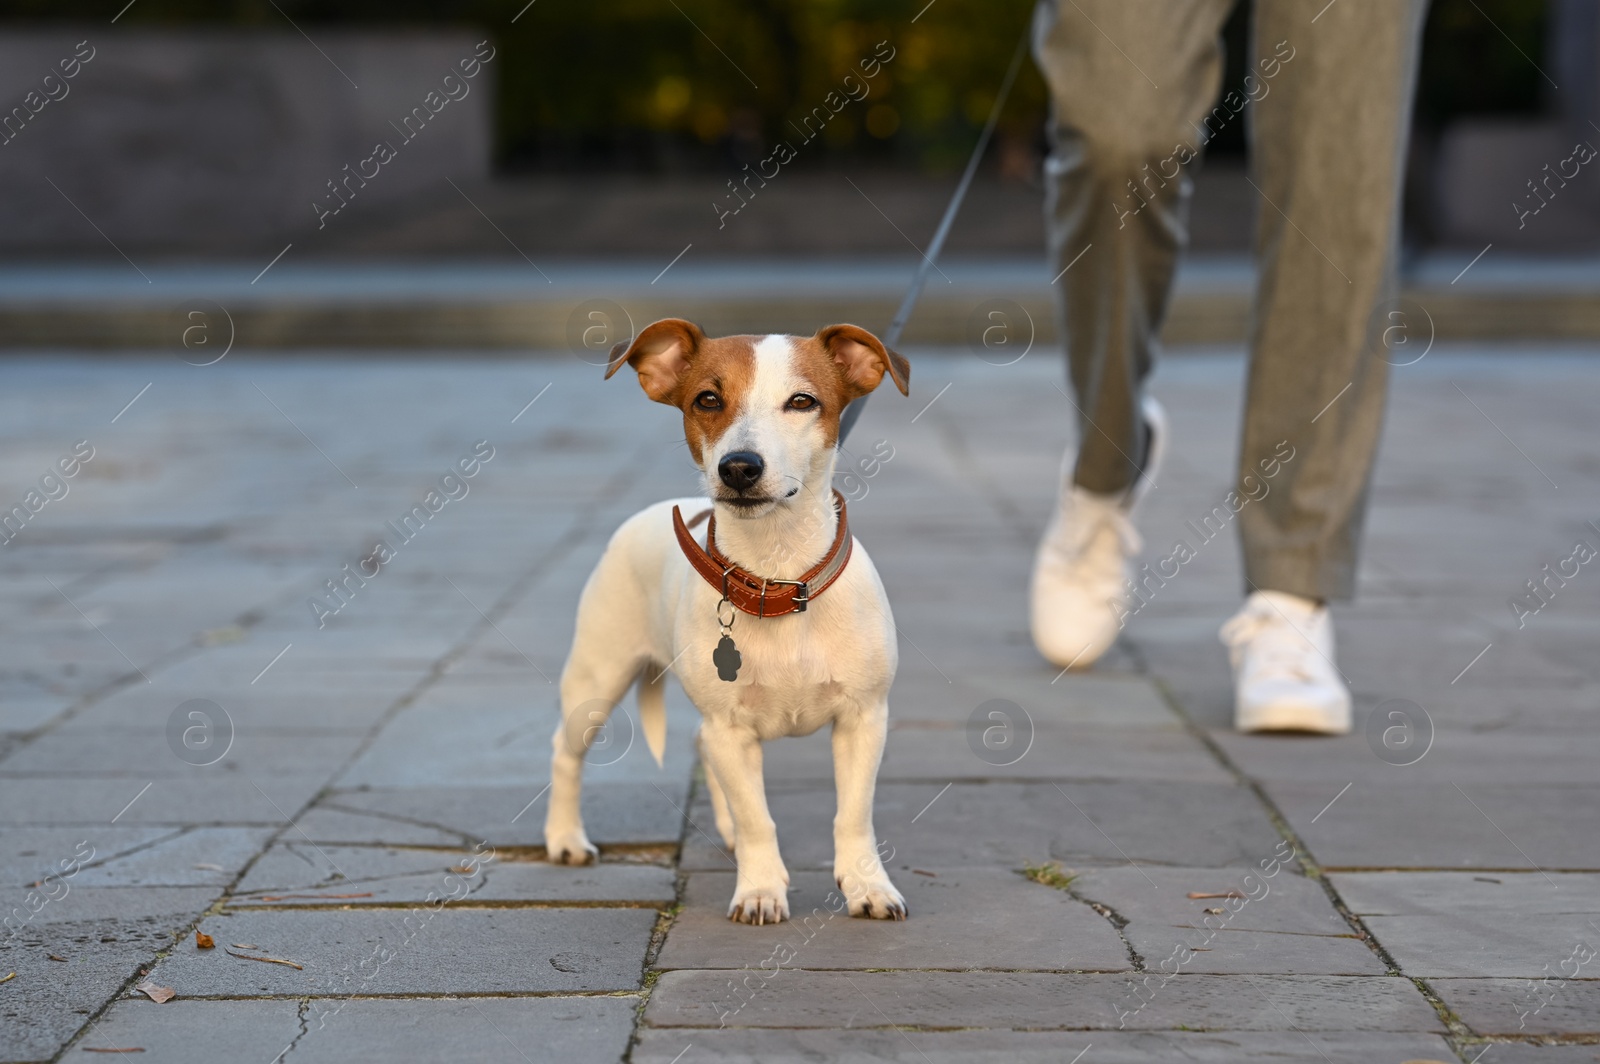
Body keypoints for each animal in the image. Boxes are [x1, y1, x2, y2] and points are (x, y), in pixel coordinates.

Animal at [544, 315, 908, 921]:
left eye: (802, 401)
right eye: (707, 399)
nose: (738, 466)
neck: (776, 577)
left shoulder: (865, 719)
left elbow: (853, 815)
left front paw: (867, 886)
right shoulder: (730, 728)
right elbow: (759, 817)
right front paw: (760, 889)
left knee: (700, 750)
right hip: (595, 683)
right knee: (566, 753)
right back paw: (565, 838)